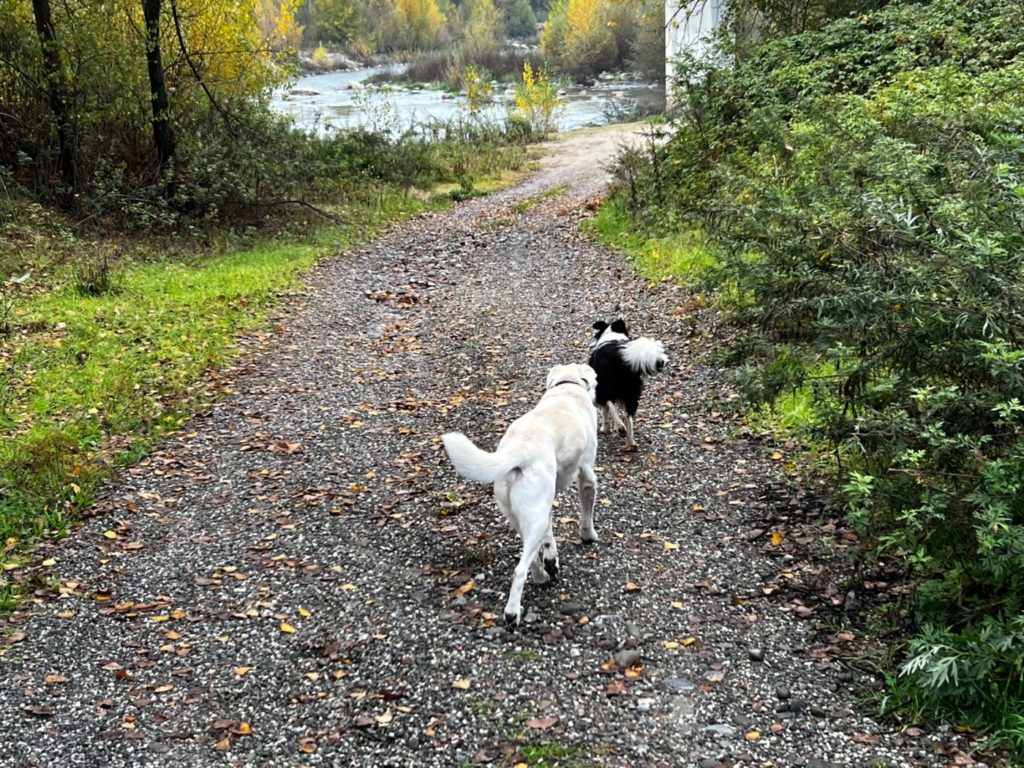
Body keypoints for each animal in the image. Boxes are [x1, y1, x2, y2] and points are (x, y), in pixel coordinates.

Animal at [442, 364, 598, 626]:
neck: (567, 387)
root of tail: (521, 450)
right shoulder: (586, 475)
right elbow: (587, 512)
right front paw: (588, 535)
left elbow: (549, 536)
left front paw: (552, 559)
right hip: (534, 512)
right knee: (519, 570)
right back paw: (513, 612)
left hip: (522, 514)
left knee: (531, 554)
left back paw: (543, 575)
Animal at [589, 321, 667, 454]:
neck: (612, 336)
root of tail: (618, 356)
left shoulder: (599, 392)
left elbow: (605, 411)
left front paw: (605, 428)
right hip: (632, 394)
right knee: (629, 419)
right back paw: (631, 443)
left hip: (605, 388)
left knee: (612, 407)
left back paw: (620, 428)